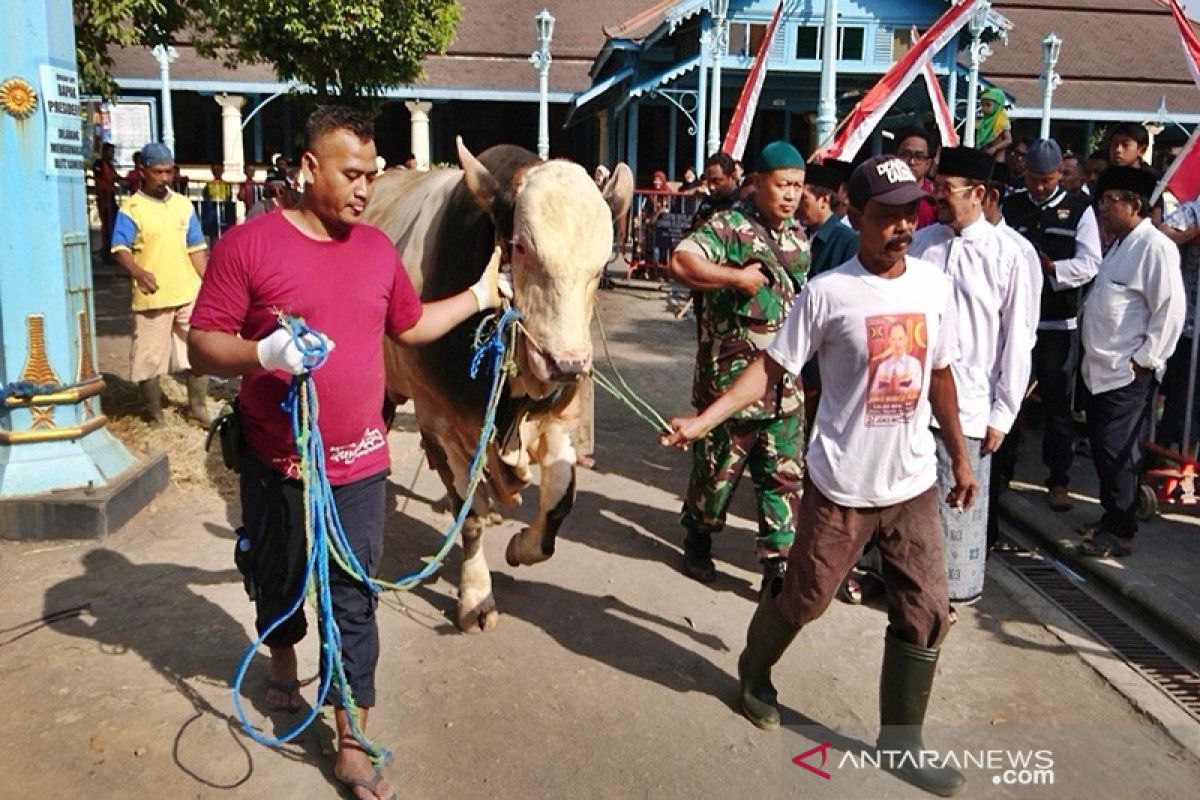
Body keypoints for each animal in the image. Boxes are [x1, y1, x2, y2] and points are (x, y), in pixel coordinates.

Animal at [360, 142, 633, 633]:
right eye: (521, 247)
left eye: (602, 264)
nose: (566, 364)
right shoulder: (441, 425)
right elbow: (470, 517)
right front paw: (475, 597)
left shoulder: (557, 422)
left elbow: (559, 505)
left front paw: (522, 547)